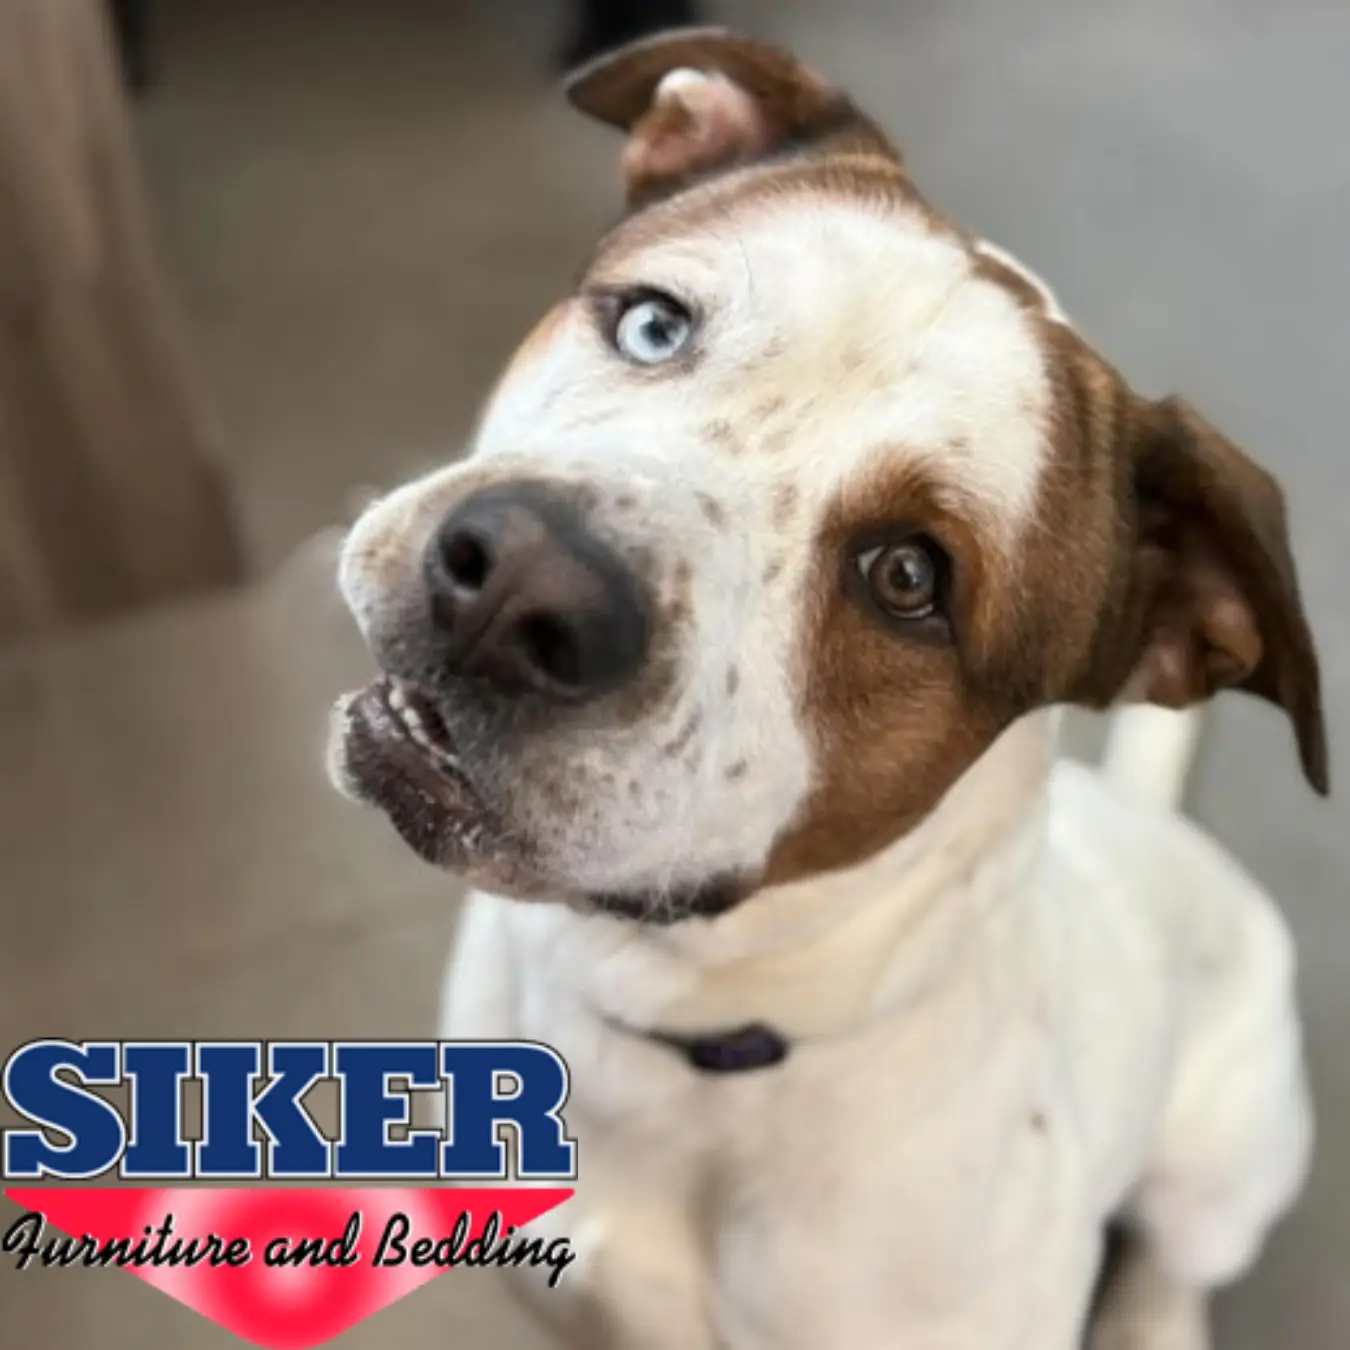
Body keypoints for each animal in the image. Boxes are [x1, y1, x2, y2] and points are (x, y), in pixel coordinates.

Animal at [328, 29, 1329, 1349]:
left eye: (908, 577)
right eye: (653, 325)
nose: (519, 587)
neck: (683, 1036)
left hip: (1223, 1162)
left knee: (1178, 1258)